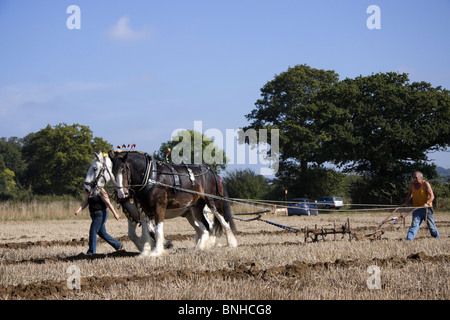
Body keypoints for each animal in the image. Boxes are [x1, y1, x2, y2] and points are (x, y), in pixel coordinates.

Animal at [85, 151, 218, 256]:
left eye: (95, 168)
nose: (86, 188)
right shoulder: (133, 215)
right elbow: (133, 234)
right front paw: (146, 248)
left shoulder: (144, 213)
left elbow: (147, 232)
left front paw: (155, 246)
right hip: (190, 214)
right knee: (201, 228)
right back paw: (200, 245)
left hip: (203, 210)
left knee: (210, 225)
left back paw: (213, 243)